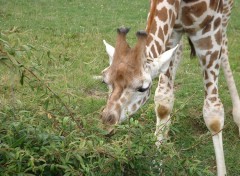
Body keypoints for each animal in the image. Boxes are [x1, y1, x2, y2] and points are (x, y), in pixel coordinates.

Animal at [100, 0, 239, 175]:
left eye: (143, 88)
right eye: (105, 80)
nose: (107, 123)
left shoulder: (209, 32)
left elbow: (213, 114)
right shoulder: (173, 32)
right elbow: (163, 102)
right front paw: (157, 160)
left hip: (225, 14)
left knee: (225, 47)